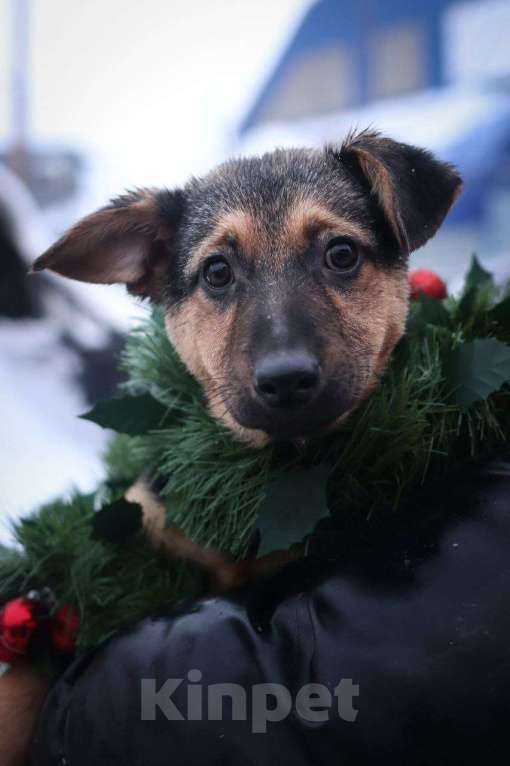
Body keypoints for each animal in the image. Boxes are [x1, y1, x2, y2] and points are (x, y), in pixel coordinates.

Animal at [0, 130, 462, 760]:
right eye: (217, 272)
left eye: (342, 254)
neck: (261, 475)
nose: (286, 379)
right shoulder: (133, 527)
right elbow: (32, 658)